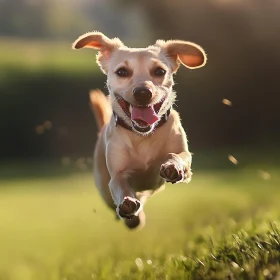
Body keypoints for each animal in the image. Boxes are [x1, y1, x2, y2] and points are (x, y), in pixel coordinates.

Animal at [73, 31, 207, 229]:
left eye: (160, 71)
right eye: (122, 71)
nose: (143, 92)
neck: (142, 135)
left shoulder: (185, 158)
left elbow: (178, 155)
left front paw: (172, 165)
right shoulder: (117, 175)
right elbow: (120, 184)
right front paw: (127, 202)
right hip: (103, 187)